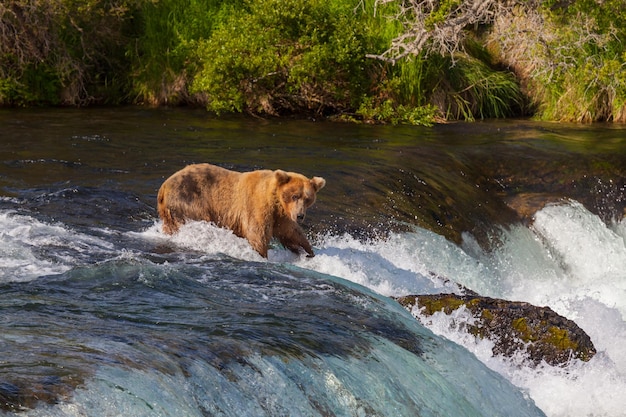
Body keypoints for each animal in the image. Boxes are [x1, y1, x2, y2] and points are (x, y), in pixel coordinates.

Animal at [156, 162, 324, 256]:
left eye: (307, 198)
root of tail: (163, 187)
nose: (300, 215)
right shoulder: (257, 205)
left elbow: (291, 232)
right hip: (189, 199)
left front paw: (308, 250)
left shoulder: (282, 216)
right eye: (295, 196)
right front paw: (262, 254)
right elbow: (257, 233)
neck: (275, 200)